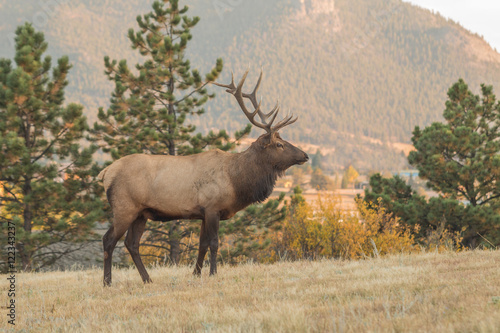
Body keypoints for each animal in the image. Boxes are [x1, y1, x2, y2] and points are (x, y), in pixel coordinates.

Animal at [98, 70, 308, 286]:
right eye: (279, 145)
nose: (305, 155)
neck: (236, 182)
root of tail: (105, 173)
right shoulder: (212, 207)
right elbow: (214, 243)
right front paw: (213, 273)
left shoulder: (203, 212)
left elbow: (202, 244)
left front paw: (196, 273)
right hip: (124, 207)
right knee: (109, 240)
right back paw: (107, 282)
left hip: (141, 213)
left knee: (132, 243)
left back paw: (147, 279)